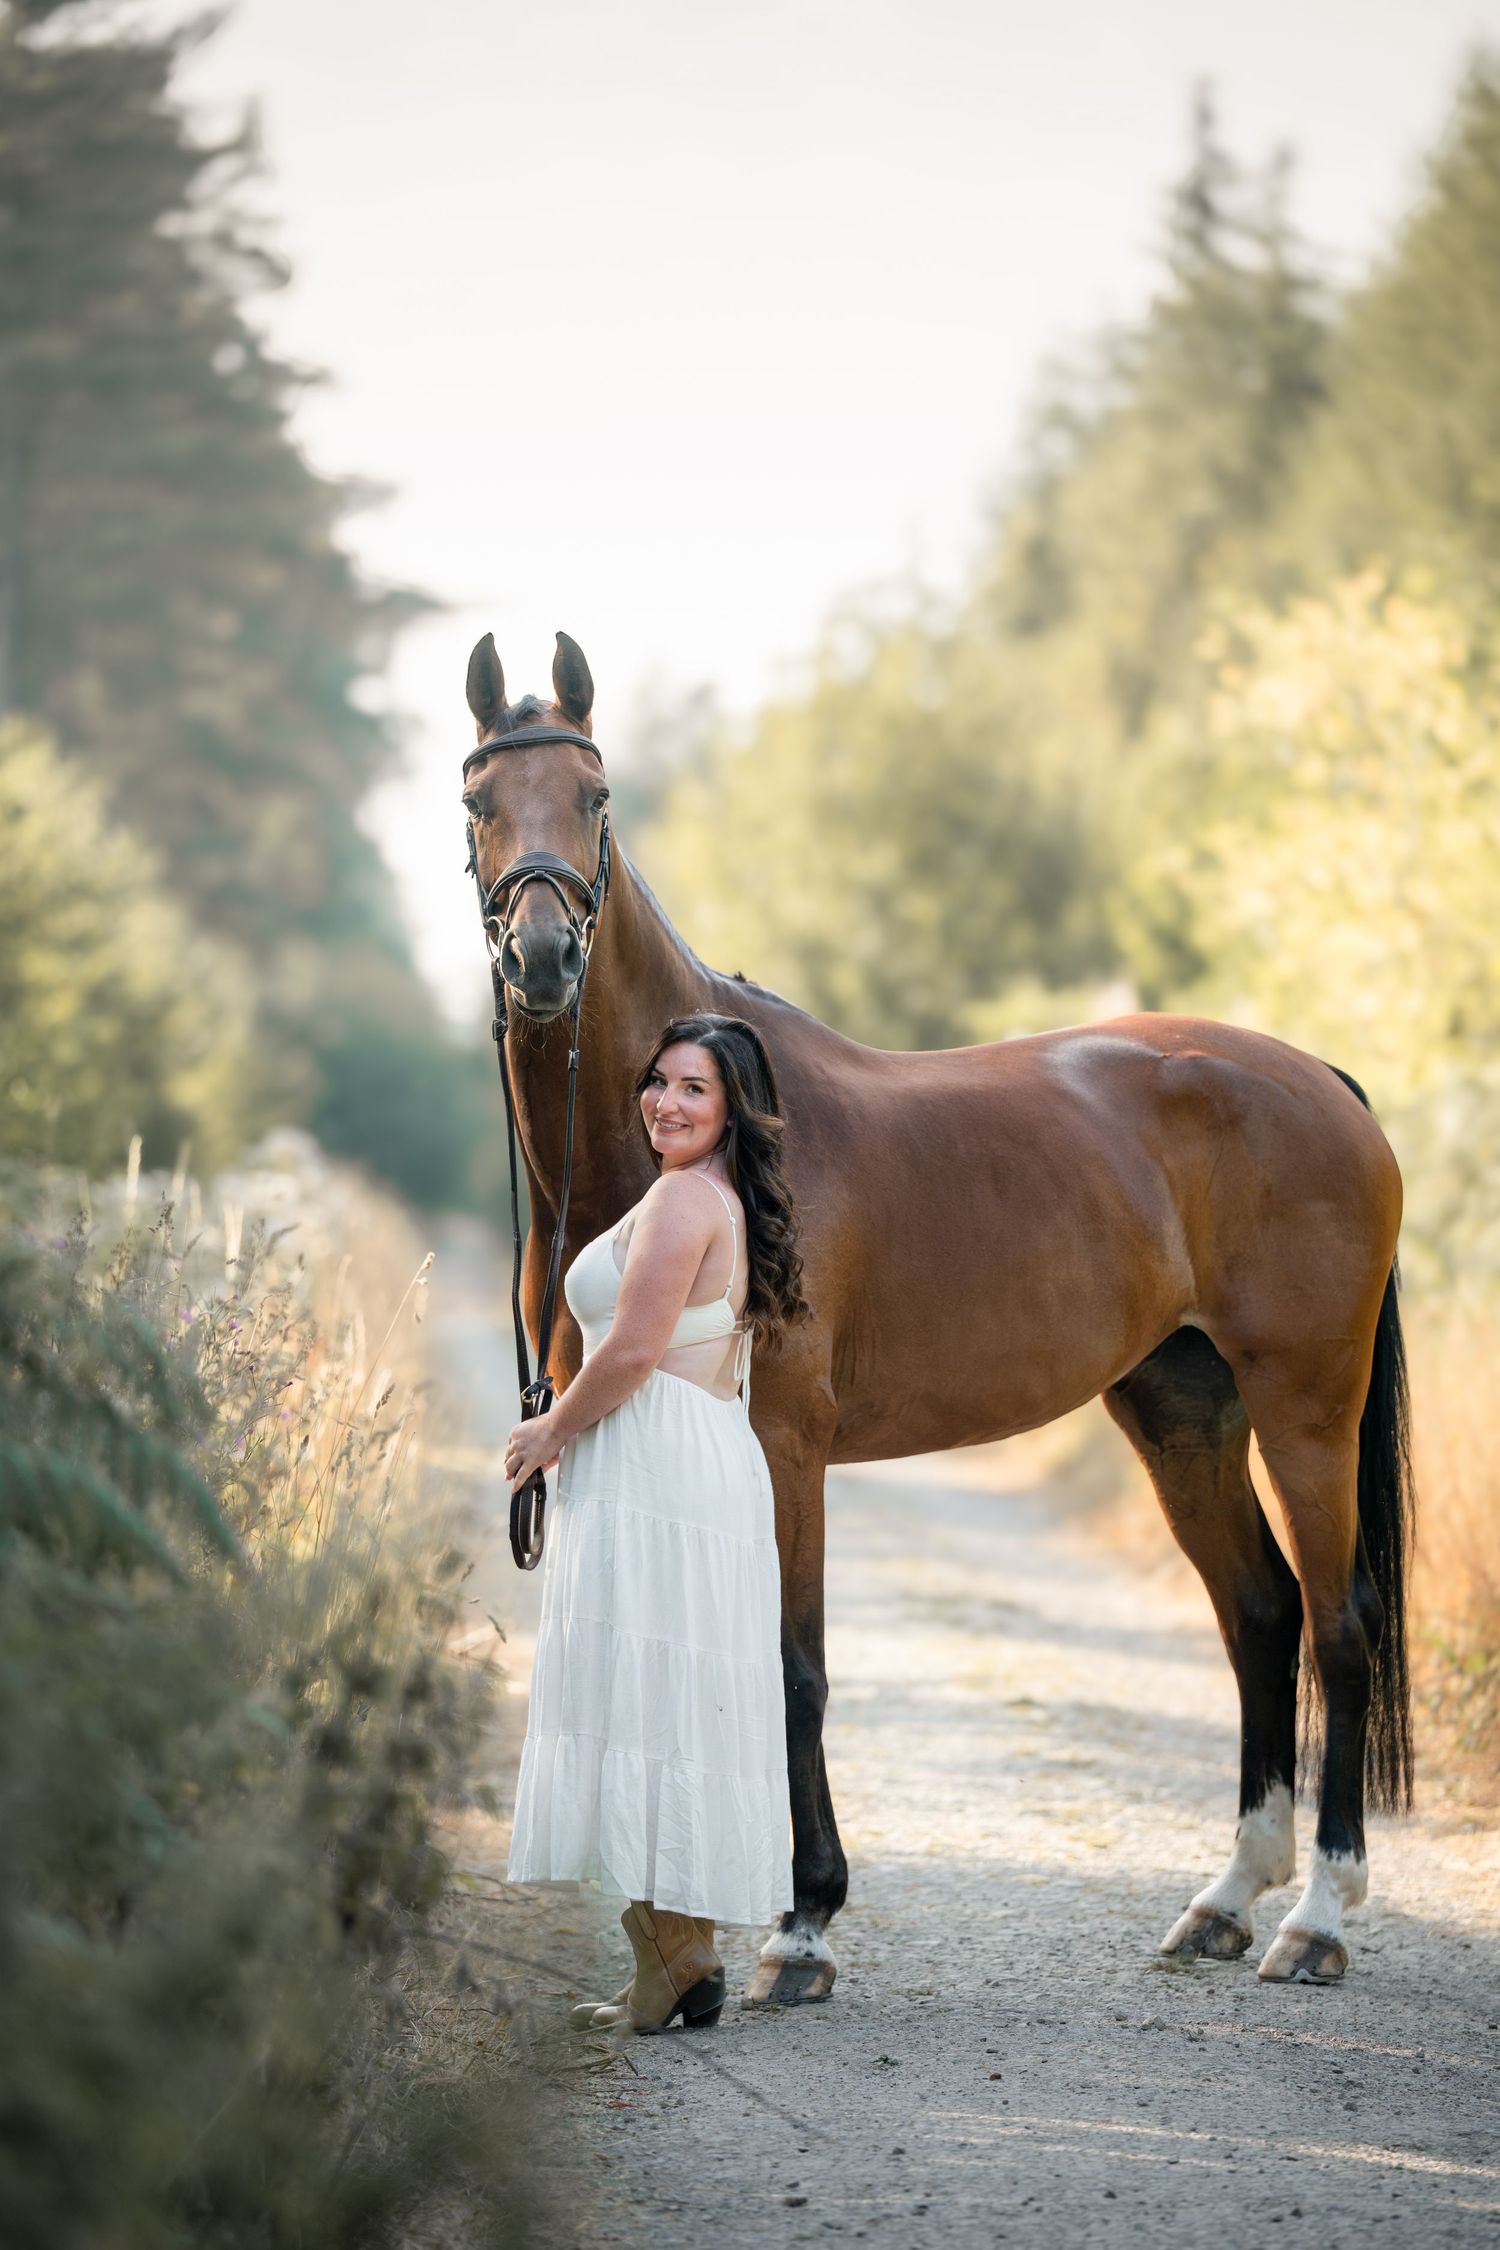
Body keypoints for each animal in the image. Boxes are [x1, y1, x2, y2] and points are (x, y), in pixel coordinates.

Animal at [462, 628, 1413, 1999]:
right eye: (478, 802)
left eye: (595, 799)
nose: (541, 962)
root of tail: (1326, 1081)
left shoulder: (783, 1442)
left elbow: (794, 1664)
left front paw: (803, 1924)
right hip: (1184, 1413)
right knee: (1261, 1612)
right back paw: (1226, 1899)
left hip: (1305, 1407)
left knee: (1339, 1625)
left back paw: (1319, 1920)